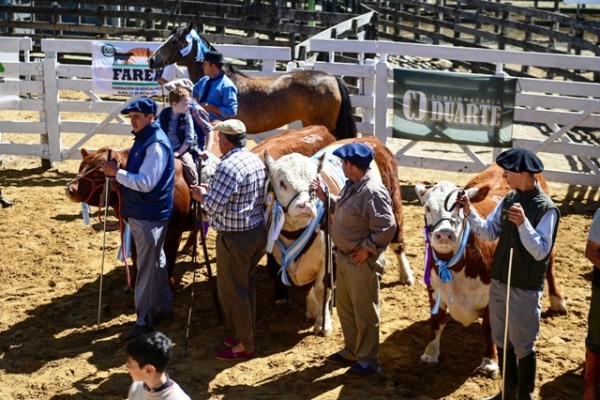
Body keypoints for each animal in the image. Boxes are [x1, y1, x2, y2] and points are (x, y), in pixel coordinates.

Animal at [65, 147, 190, 288]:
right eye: (81, 167)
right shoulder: (130, 228)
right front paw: (134, 284)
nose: (70, 189)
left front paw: (169, 284)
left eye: (100, 172)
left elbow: (169, 256)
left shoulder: (175, 230)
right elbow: (136, 256)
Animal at [264, 138, 414, 338]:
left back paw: (406, 275)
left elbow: (322, 289)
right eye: (282, 182)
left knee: (397, 243)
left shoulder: (331, 256)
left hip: (393, 203)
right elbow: (307, 287)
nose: (305, 206)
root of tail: (367, 139)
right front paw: (312, 310)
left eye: (315, 181)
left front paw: (323, 324)